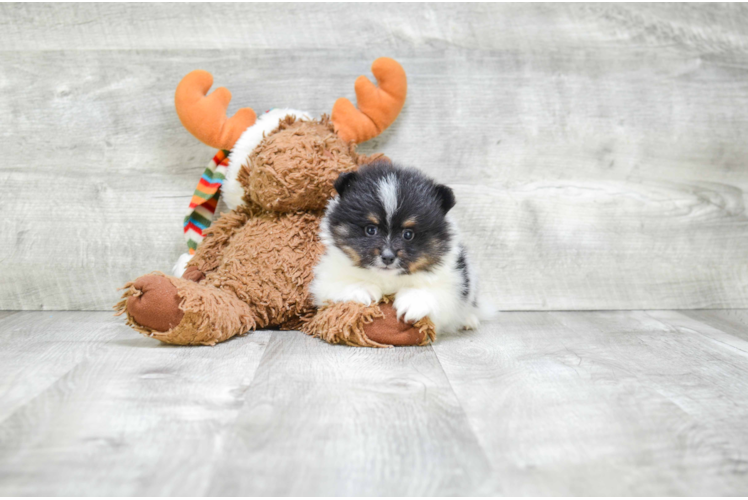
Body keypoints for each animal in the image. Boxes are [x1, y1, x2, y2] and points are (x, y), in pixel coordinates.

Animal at [312, 158, 494, 334]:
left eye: (408, 234)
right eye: (371, 230)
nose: (387, 257)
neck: (388, 279)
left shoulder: (454, 282)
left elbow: (438, 294)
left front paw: (413, 301)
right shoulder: (327, 276)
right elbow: (336, 285)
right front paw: (361, 290)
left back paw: (468, 320)